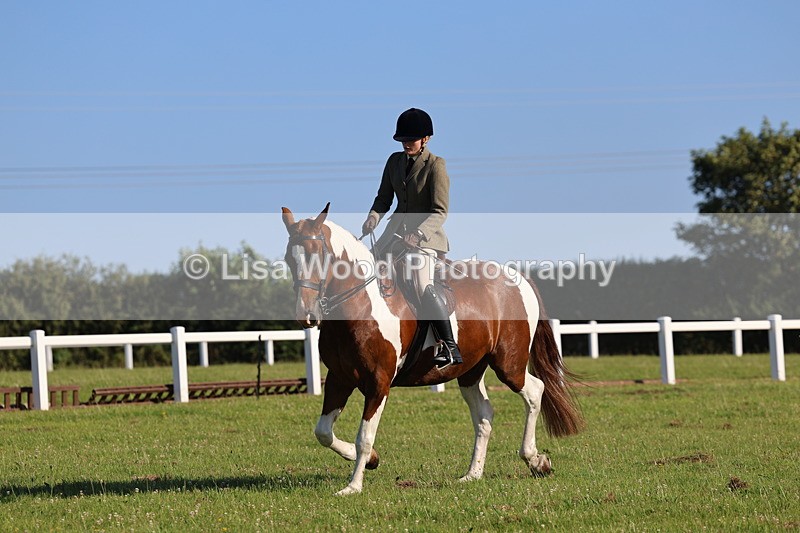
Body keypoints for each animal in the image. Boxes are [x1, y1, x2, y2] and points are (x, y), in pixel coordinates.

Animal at [281, 203, 583, 496]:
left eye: (319, 255)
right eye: (289, 259)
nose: (307, 316)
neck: (361, 305)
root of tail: (519, 278)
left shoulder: (379, 382)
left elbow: (364, 437)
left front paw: (353, 486)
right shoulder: (339, 378)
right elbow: (323, 432)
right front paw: (372, 461)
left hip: (509, 364)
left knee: (534, 391)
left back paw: (535, 460)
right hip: (470, 370)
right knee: (484, 415)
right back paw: (473, 474)